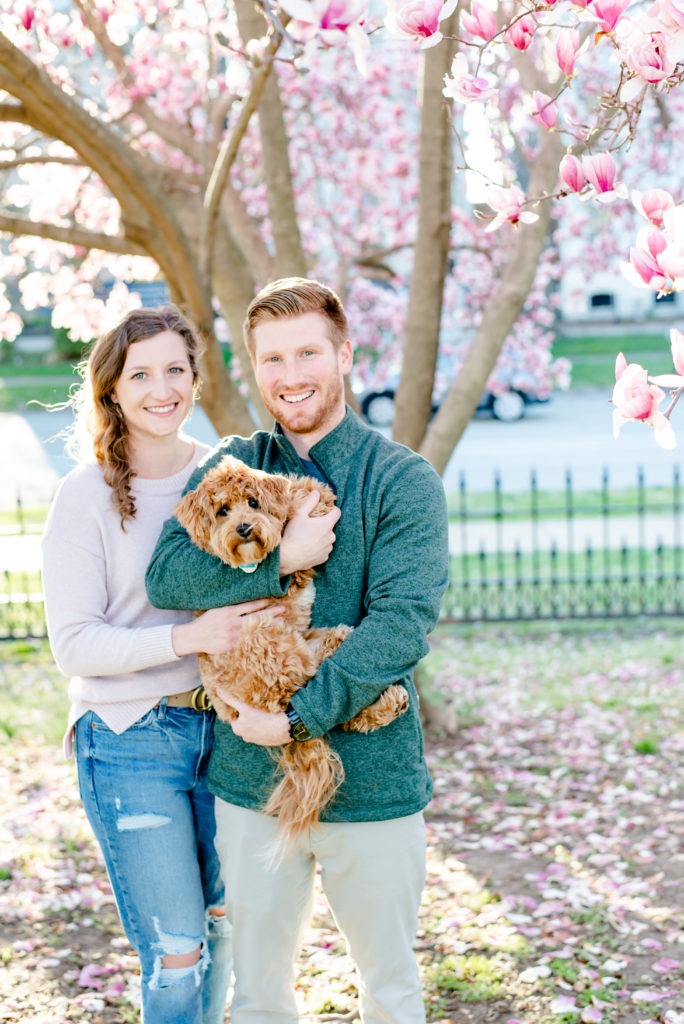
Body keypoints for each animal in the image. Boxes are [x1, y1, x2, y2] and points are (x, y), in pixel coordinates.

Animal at [174, 456, 409, 847]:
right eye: (223, 511)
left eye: (252, 502)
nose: (243, 528)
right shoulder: (285, 585)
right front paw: (309, 492)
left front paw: (296, 491)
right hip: (268, 641)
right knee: (318, 683)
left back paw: (390, 700)